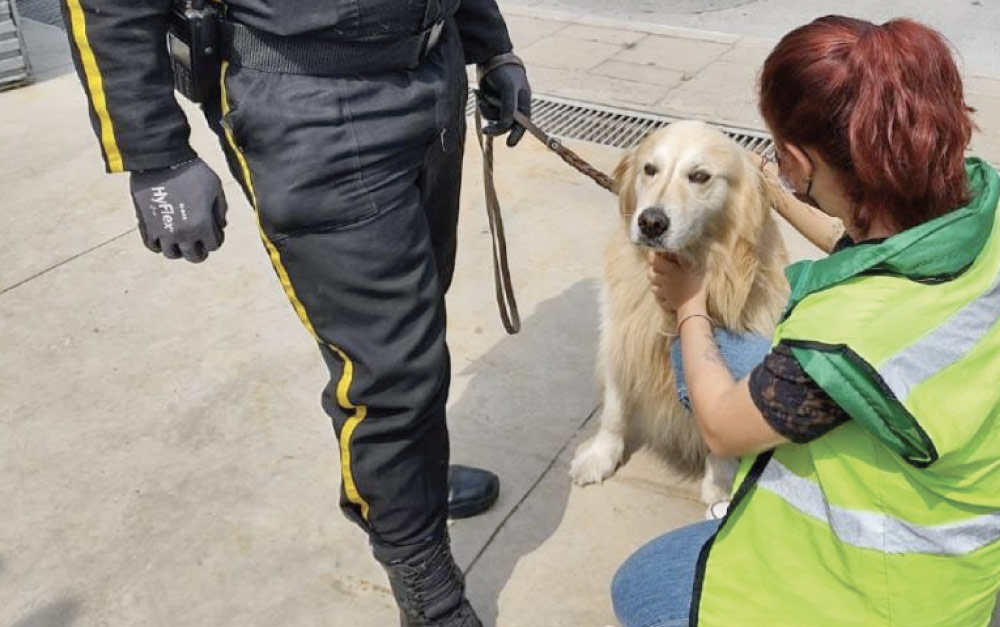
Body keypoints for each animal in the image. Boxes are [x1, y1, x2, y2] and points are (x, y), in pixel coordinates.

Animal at [572, 119, 788, 510]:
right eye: (649, 169)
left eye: (700, 176)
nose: (651, 222)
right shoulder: (621, 332)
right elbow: (614, 408)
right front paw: (601, 455)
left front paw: (721, 482)